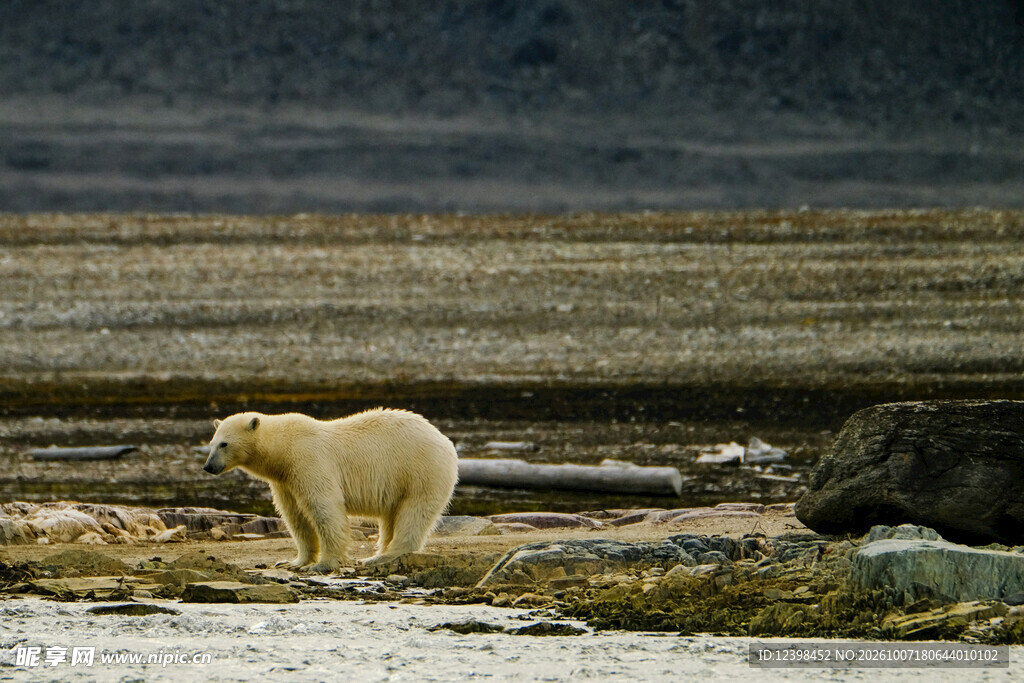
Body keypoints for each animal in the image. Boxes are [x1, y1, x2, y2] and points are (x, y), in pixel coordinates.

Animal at [202, 408, 458, 573]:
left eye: (224, 444)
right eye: (211, 444)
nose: (208, 467)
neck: (283, 448)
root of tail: (446, 441)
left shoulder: (309, 461)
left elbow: (323, 508)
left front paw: (323, 564)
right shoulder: (285, 480)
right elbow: (295, 517)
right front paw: (294, 562)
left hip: (419, 470)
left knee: (414, 512)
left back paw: (383, 557)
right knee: (391, 517)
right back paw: (376, 554)